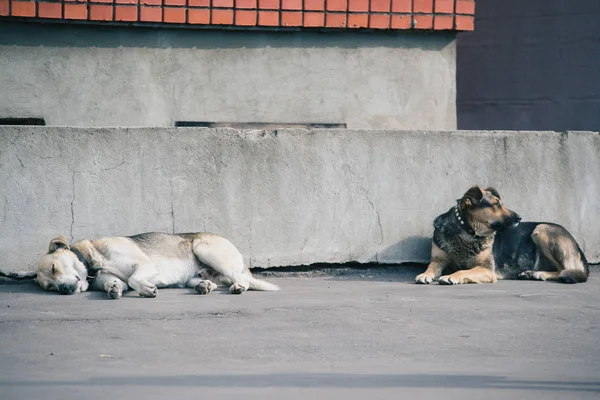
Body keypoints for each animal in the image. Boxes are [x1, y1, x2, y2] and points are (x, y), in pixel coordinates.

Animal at [414, 187, 588, 284]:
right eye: (496, 204)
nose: (519, 217)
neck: (467, 232)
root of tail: (579, 247)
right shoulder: (438, 260)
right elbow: (431, 267)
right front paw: (425, 274)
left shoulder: (486, 269)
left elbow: (464, 271)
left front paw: (452, 276)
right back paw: (532, 273)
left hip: (541, 229)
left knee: (567, 270)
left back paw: (539, 274)